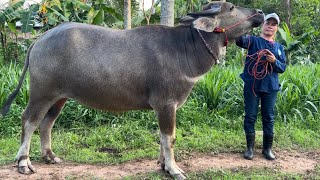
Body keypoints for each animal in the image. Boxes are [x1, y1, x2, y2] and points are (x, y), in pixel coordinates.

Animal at [1, 1, 264, 179]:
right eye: (231, 7)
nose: (260, 12)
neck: (185, 49)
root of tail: (40, 40)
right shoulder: (166, 104)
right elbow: (169, 137)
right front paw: (174, 169)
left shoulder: (167, 108)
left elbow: (163, 137)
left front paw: (163, 165)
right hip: (41, 93)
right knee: (29, 120)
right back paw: (23, 162)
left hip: (60, 97)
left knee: (47, 122)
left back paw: (50, 156)